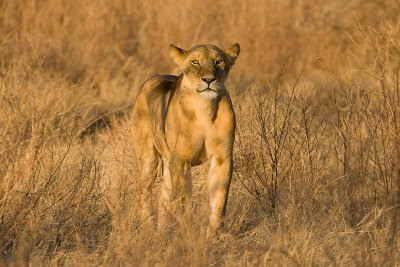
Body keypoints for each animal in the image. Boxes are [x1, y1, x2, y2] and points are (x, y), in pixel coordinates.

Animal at [131, 43, 239, 236]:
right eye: (195, 62)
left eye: (219, 61)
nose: (209, 80)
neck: (205, 109)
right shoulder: (180, 161)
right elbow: (183, 201)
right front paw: (189, 231)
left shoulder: (222, 158)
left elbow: (219, 199)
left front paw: (213, 235)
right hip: (149, 160)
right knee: (144, 194)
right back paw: (148, 229)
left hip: (168, 163)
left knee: (163, 199)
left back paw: (161, 233)